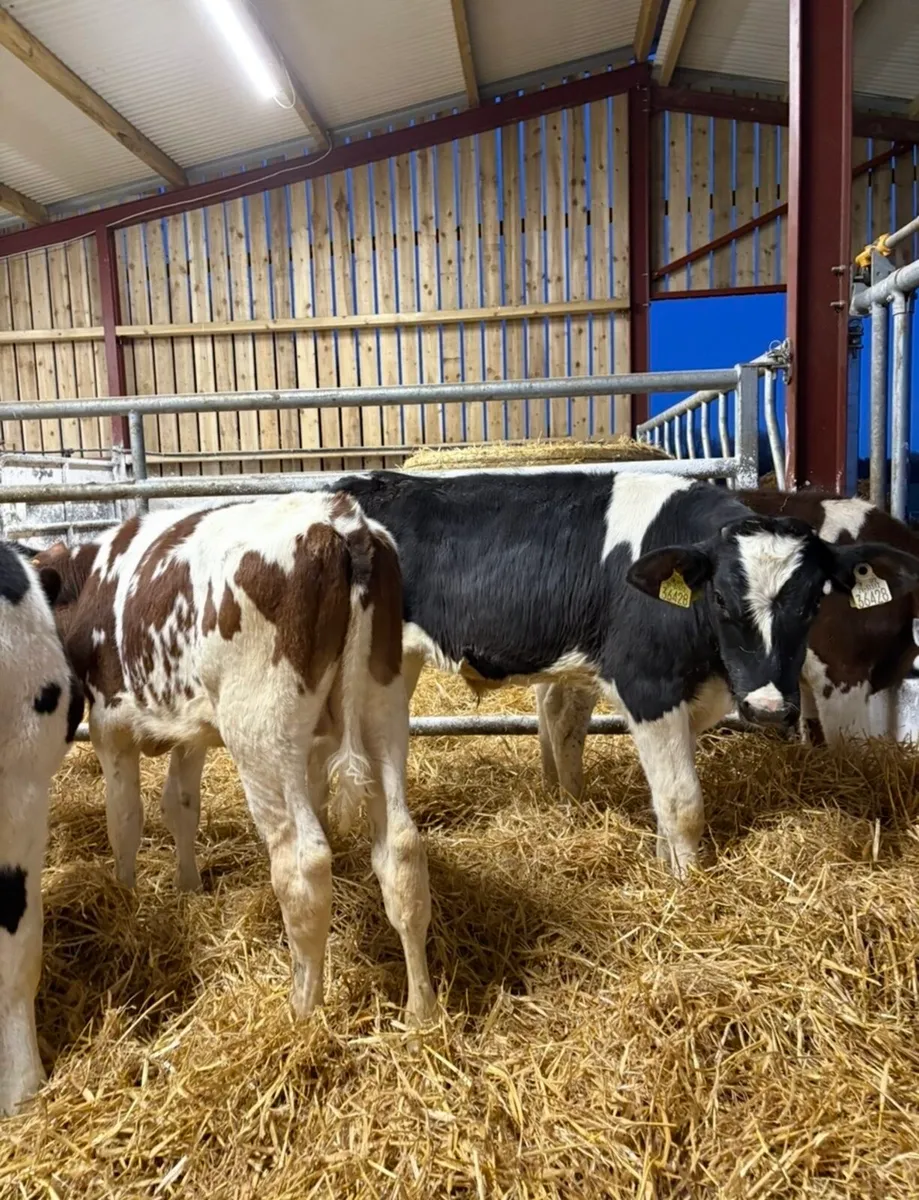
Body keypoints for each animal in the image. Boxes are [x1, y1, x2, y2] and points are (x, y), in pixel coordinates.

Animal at [33, 493, 436, 1026]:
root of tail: (340, 518)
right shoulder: (189, 729)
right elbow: (180, 806)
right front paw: (187, 887)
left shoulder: (110, 725)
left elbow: (124, 819)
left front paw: (124, 897)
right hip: (384, 709)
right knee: (401, 849)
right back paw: (421, 1011)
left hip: (263, 735)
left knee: (303, 863)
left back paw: (302, 1011)